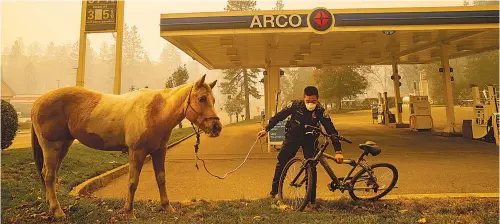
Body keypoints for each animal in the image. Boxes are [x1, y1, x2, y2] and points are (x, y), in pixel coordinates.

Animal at [29, 74, 221, 218]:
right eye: (202, 98)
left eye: (213, 99)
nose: (216, 127)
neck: (155, 111)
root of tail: (38, 102)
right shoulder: (137, 152)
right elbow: (133, 182)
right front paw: (129, 212)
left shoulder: (159, 151)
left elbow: (161, 179)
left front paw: (167, 207)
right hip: (51, 146)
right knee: (49, 176)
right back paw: (57, 211)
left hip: (63, 145)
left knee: (50, 175)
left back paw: (52, 207)